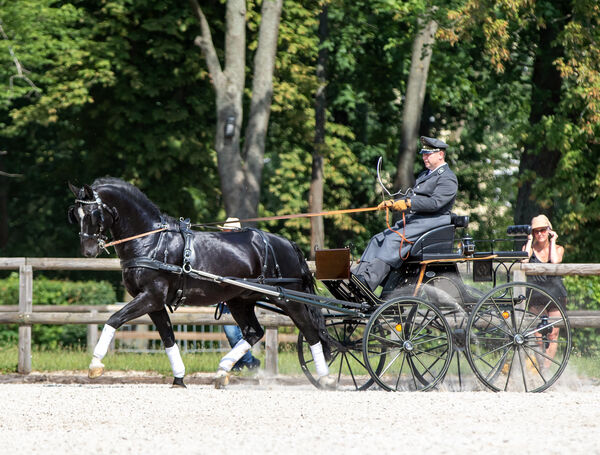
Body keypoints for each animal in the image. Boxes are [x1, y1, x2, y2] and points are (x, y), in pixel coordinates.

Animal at [69, 177, 332, 388]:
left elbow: (114, 319)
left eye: (93, 214)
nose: (88, 250)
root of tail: (287, 244)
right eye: (75, 215)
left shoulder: (151, 296)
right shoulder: (155, 303)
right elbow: (168, 337)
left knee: (310, 332)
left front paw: (94, 365)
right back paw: (222, 371)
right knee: (254, 332)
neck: (152, 242)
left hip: (288, 298)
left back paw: (326, 378)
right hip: (240, 300)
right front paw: (179, 379)